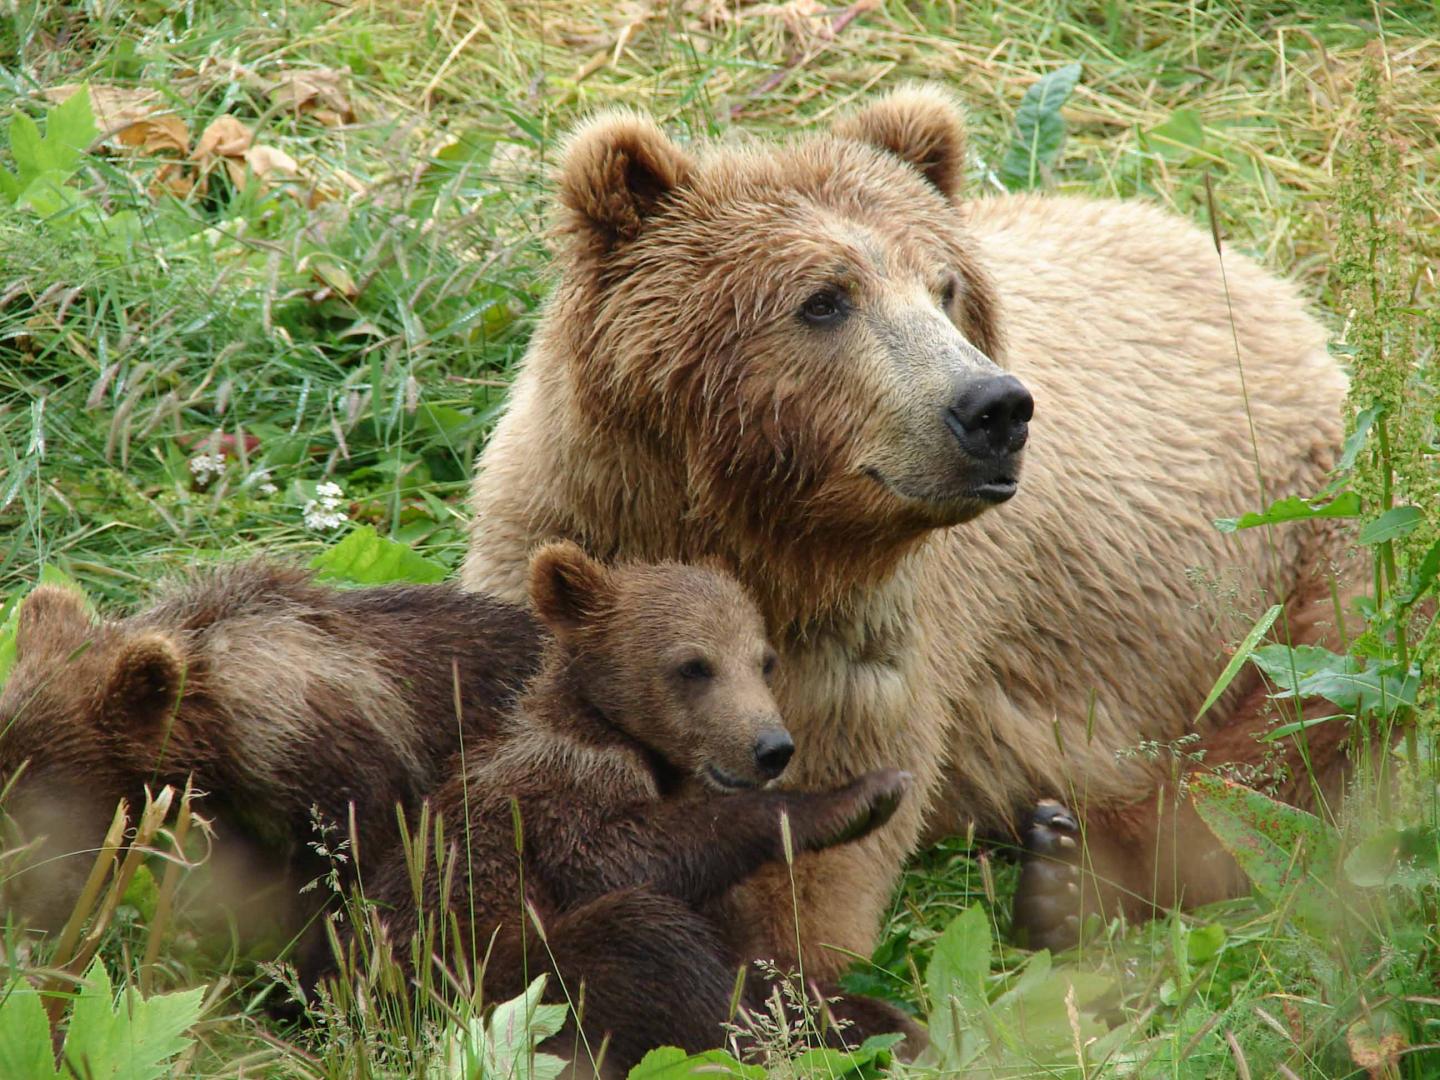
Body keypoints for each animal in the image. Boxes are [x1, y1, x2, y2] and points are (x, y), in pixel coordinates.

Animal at [367, 541, 918, 1076]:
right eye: (694, 665)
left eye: (764, 661)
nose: (772, 748)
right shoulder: (558, 796)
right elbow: (628, 858)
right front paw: (859, 796)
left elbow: (762, 961)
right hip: (493, 989)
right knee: (644, 938)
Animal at [459, 84, 1351, 967]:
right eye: (824, 300)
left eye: (945, 287)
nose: (994, 407)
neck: (756, 535)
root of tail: (1256, 274)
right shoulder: (561, 542)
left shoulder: (867, 649)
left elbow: (814, 869)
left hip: (1299, 537)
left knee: (1293, 733)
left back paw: (1068, 875)